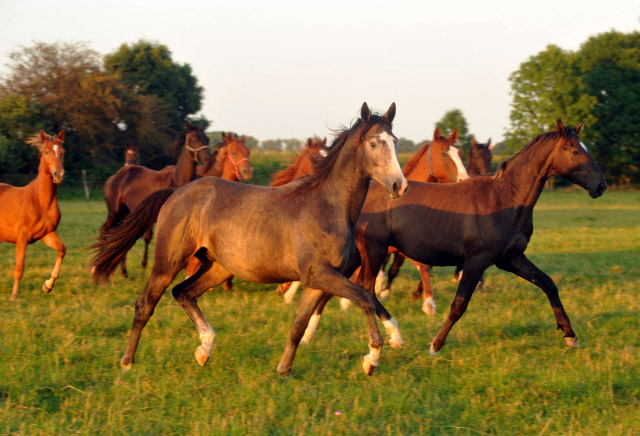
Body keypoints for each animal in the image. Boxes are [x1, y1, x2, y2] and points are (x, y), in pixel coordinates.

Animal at [0, 129, 66, 300]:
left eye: (62, 152)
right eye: (47, 152)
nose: (58, 174)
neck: (40, 201)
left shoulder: (47, 234)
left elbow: (62, 250)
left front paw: (47, 286)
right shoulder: (22, 238)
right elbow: (19, 268)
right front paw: (14, 297)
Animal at [99, 122, 211, 278]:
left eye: (207, 138)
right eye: (194, 138)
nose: (208, 159)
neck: (176, 180)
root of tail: (114, 177)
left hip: (126, 213)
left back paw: (123, 271)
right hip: (114, 212)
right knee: (104, 230)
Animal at [304, 119, 604, 354]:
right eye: (575, 150)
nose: (600, 186)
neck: (504, 198)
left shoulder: (511, 258)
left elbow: (548, 284)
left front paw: (570, 335)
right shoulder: (476, 261)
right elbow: (459, 304)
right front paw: (435, 345)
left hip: (358, 255)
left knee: (334, 290)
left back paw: (308, 335)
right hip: (374, 252)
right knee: (365, 288)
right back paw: (393, 334)